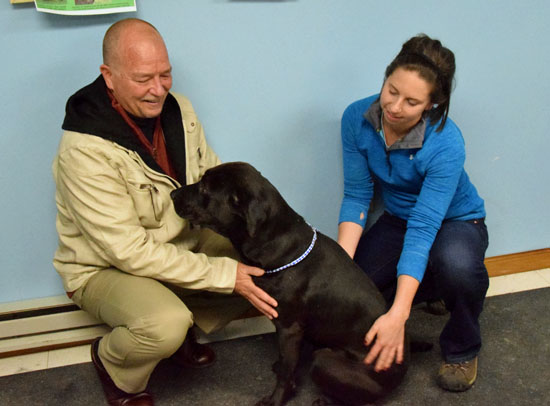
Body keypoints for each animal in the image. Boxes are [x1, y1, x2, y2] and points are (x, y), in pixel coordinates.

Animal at [171, 163, 410, 406]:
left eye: (204, 187)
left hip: (324, 359)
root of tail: (402, 367)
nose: (172, 194)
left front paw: (276, 399)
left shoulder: (289, 329)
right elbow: (285, 362)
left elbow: (286, 372)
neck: (278, 246)